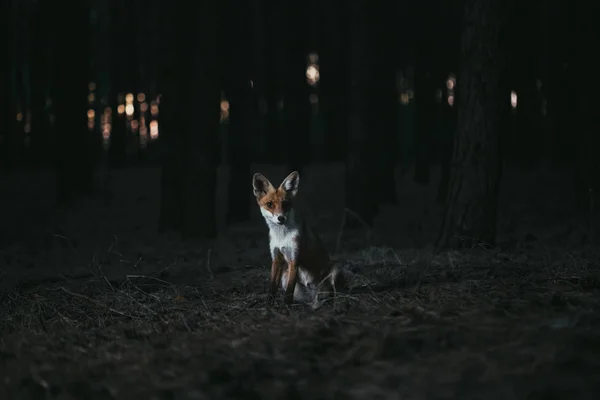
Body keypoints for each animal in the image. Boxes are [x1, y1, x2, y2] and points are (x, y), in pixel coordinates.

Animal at [251, 170, 344, 306]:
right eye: (270, 204)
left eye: (285, 204)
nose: (281, 218)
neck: (282, 237)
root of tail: (313, 294)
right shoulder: (276, 257)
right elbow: (272, 286)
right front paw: (269, 305)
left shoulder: (294, 258)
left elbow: (289, 291)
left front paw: (285, 307)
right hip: (285, 277)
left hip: (336, 268)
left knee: (333, 292)